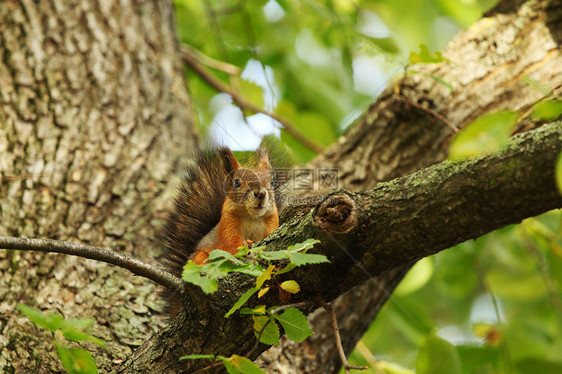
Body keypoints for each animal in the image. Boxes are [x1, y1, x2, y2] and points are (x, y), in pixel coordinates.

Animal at [160, 146, 278, 316]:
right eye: (237, 182)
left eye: (273, 182)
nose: (260, 193)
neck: (253, 217)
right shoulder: (227, 227)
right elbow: (229, 247)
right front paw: (246, 245)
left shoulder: (273, 224)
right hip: (200, 259)